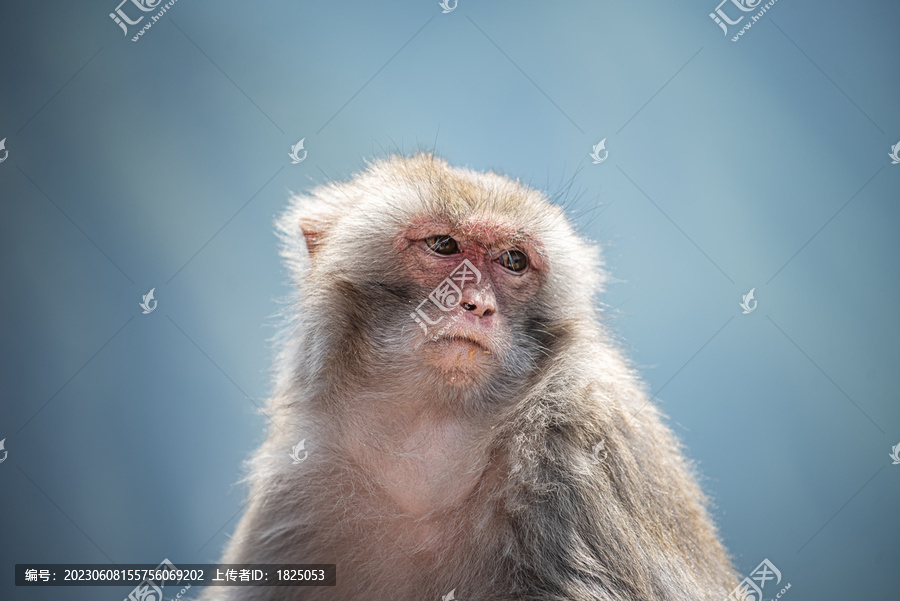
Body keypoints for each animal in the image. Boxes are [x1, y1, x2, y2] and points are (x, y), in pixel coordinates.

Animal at [202, 154, 740, 600]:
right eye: (444, 245)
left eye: (513, 261)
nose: (477, 304)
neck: (430, 441)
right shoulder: (300, 480)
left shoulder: (579, 451)